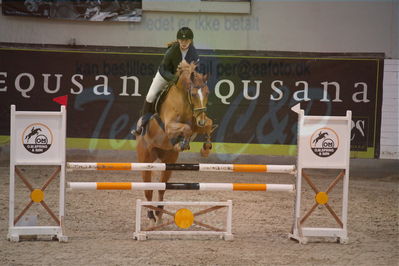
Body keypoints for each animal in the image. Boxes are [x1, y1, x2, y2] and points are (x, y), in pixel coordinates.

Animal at [135, 60, 216, 224]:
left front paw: (206, 148)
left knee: (162, 187)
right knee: (148, 190)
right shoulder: (169, 127)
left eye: (207, 93)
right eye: (193, 94)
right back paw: (151, 216)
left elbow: (207, 124)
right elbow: (186, 129)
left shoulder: (196, 122)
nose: (201, 120)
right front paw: (182, 143)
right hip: (145, 160)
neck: (183, 99)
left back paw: (159, 214)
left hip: (169, 161)